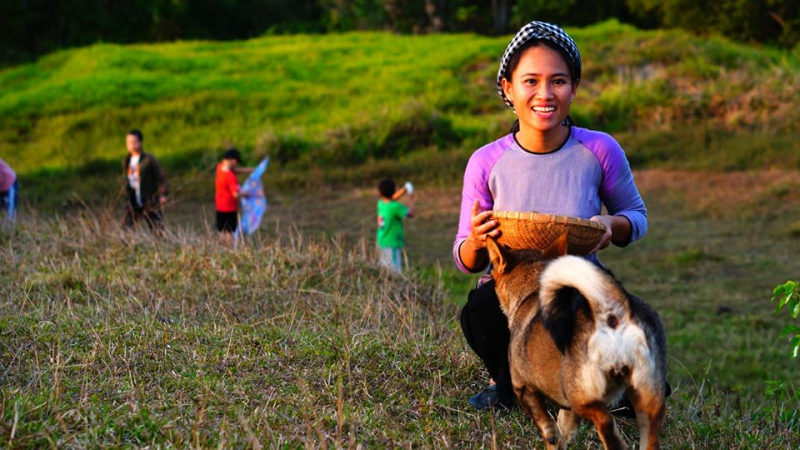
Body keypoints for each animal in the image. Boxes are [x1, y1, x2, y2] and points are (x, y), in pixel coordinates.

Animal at [488, 236, 668, 450]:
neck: (531, 291)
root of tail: (613, 312)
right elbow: (564, 426)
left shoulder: (523, 388)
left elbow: (549, 430)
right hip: (648, 397)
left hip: (583, 397)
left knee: (605, 422)